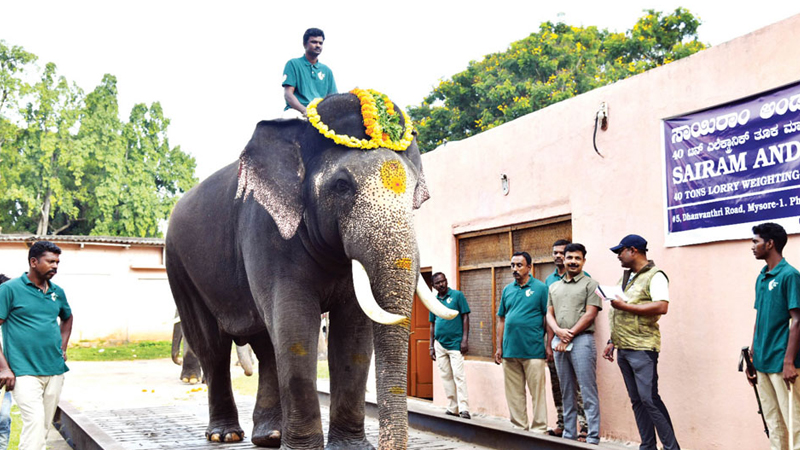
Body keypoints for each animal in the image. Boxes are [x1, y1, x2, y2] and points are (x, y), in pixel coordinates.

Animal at [165, 91, 455, 449]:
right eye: (342, 185)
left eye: (414, 191)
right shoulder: (266, 231)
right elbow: (295, 322)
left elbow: (353, 332)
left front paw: (351, 448)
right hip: (180, 268)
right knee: (213, 346)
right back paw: (226, 435)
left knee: (265, 345)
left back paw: (269, 436)